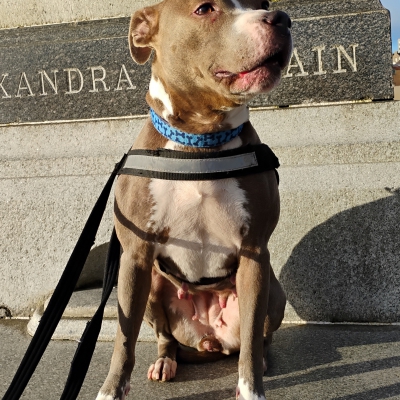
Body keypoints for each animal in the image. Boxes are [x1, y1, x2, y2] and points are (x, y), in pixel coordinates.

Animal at [96, 1, 290, 398]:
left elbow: (251, 338)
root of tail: (210, 341)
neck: (201, 140)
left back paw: (262, 359)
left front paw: (251, 389)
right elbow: (123, 338)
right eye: (204, 8)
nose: (281, 18)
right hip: (152, 288)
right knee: (165, 338)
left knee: (257, 339)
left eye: (263, 4)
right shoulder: (135, 257)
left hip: (273, 293)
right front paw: (109, 390)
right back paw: (165, 362)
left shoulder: (254, 254)